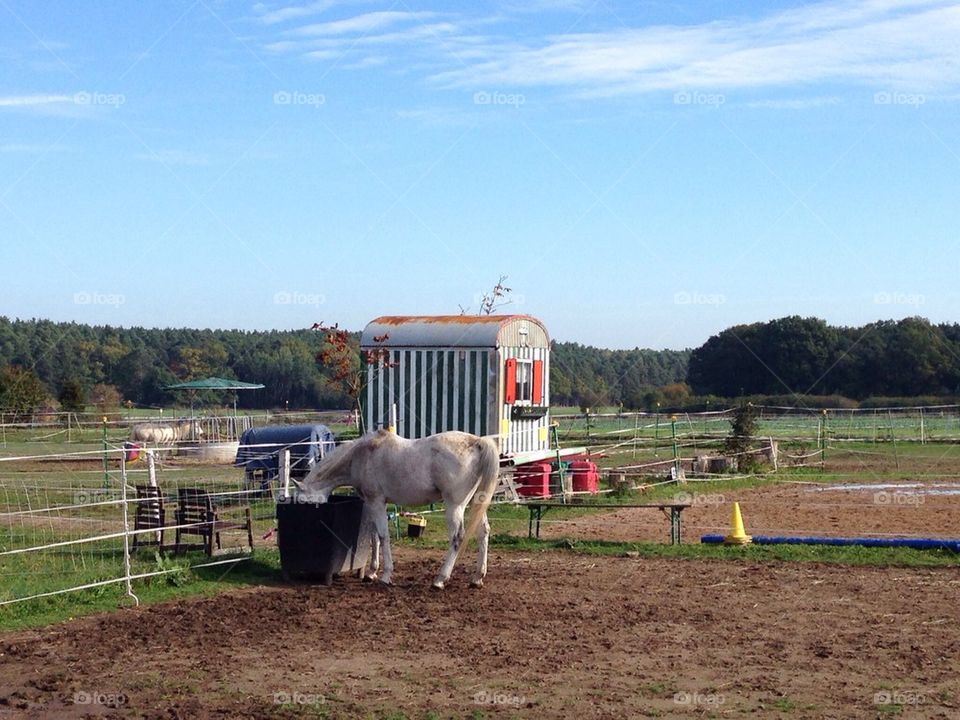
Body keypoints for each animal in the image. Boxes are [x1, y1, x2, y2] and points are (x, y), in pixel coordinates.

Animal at [296, 429, 500, 589]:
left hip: (454, 506)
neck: (361, 455)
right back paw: (477, 578)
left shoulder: (376, 502)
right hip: (475, 503)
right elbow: (373, 536)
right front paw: (371, 572)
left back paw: (440, 580)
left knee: (457, 538)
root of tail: (477, 442)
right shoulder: (371, 504)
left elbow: (383, 536)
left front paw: (385, 576)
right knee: (483, 533)